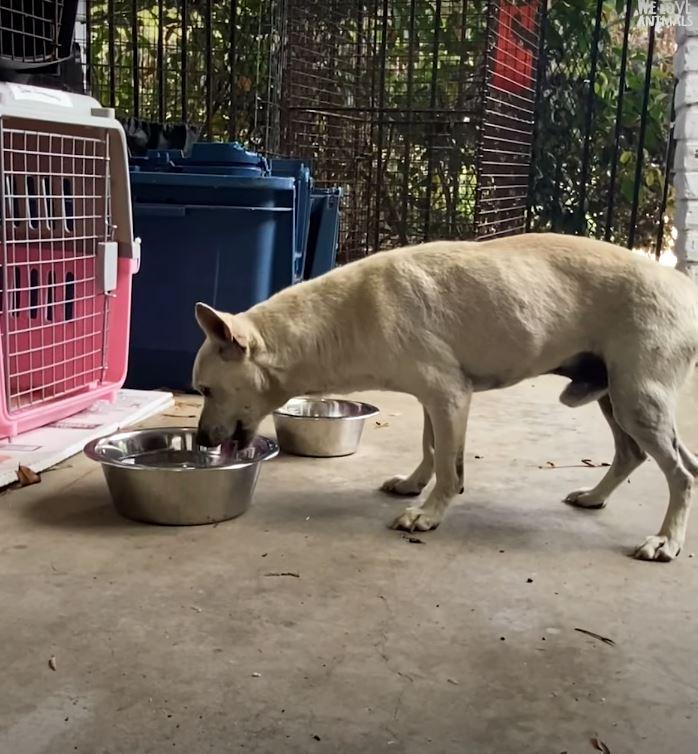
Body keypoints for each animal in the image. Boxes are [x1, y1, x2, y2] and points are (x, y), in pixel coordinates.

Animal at [190, 234, 696, 560]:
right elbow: (431, 448)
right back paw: (595, 497)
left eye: (206, 389)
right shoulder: (431, 400)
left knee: (683, 473)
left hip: (637, 402)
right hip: (616, 400)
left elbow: (451, 468)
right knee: (632, 454)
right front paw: (414, 484)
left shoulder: (450, 396)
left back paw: (667, 541)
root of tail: (684, 286)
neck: (344, 316)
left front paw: (428, 514)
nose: (200, 442)